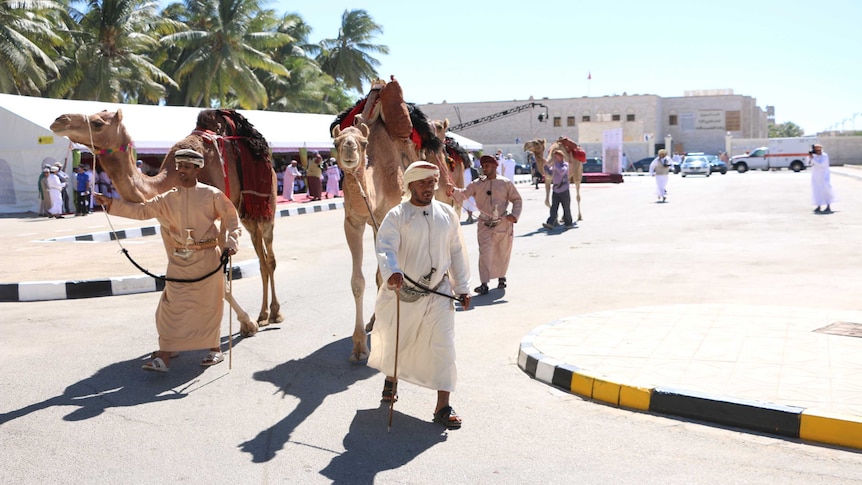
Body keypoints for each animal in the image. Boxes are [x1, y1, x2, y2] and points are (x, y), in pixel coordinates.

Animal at [50, 108, 284, 336]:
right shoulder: (165, 224)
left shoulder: (216, 216)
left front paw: (247, 324)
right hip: (246, 214)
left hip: (265, 205)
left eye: (98, 123)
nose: (59, 120)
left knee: (270, 257)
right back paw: (263, 314)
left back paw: (274, 314)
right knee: (261, 258)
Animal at [330, 77, 448, 362]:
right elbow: (359, 281)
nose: (349, 149)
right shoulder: (353, 221)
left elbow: (385, 275)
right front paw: (359, 345)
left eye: (362, 143)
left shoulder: (387, 216)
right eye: (336, 143)